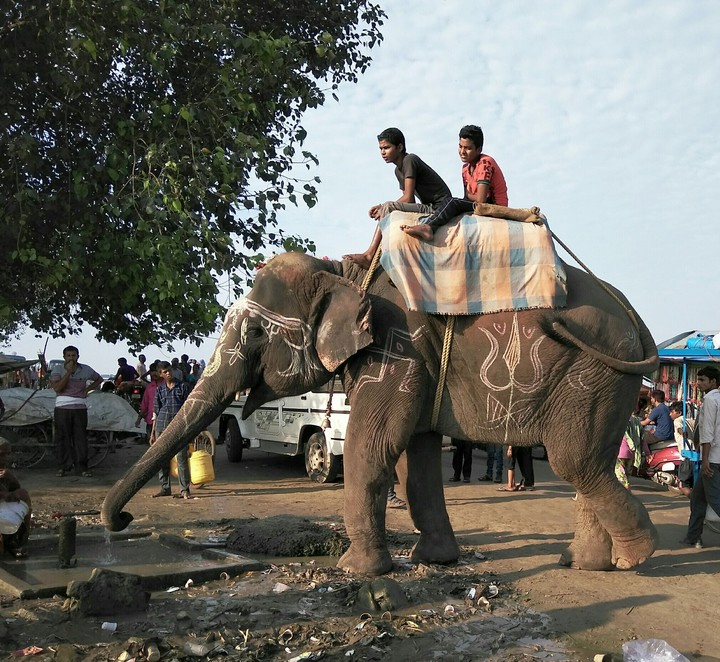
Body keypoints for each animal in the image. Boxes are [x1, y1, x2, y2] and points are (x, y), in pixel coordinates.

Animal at [102, 251, 660, 576]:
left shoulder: (396, 350)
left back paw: (635, 557)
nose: (122, 521)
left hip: (592, 371)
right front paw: (431, 561)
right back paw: (585, 563)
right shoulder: (418, 366)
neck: (345, 274)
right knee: (587, 463)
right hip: (603, 382)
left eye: (258, 333)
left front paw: (357, 570)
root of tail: (634, 315)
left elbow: (371, 448)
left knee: (574, 461)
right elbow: (415, 461)